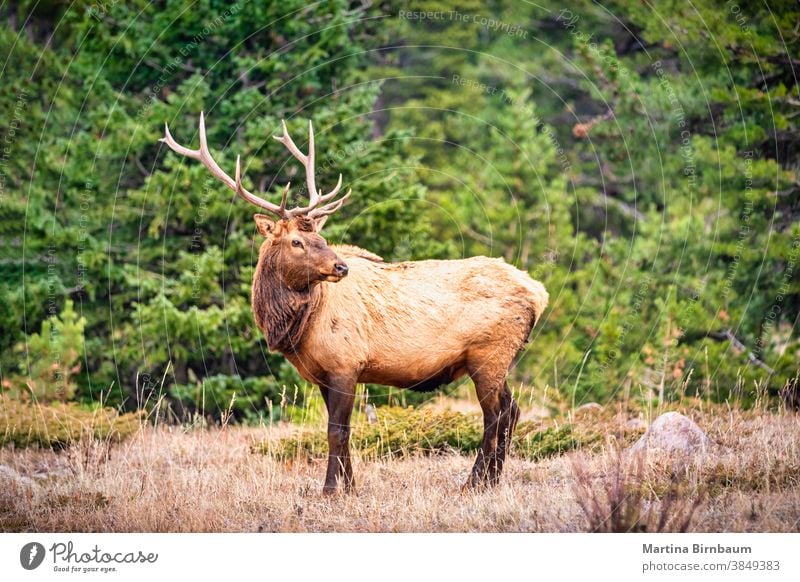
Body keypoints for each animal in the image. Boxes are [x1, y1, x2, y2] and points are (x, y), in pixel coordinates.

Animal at [162, 115, 552, 498]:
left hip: (489, 353)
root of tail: (538, 293)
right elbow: (342, 430)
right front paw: (349, 487)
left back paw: (474, 483)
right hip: (499, 359)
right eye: (296, 241)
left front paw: (330, 490)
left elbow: (337, 430)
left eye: (321, 237)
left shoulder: (345, 363)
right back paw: (492, 481)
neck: (300, 326)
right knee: (512, 410)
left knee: (495, 415)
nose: (341, 267)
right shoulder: (322, 372)